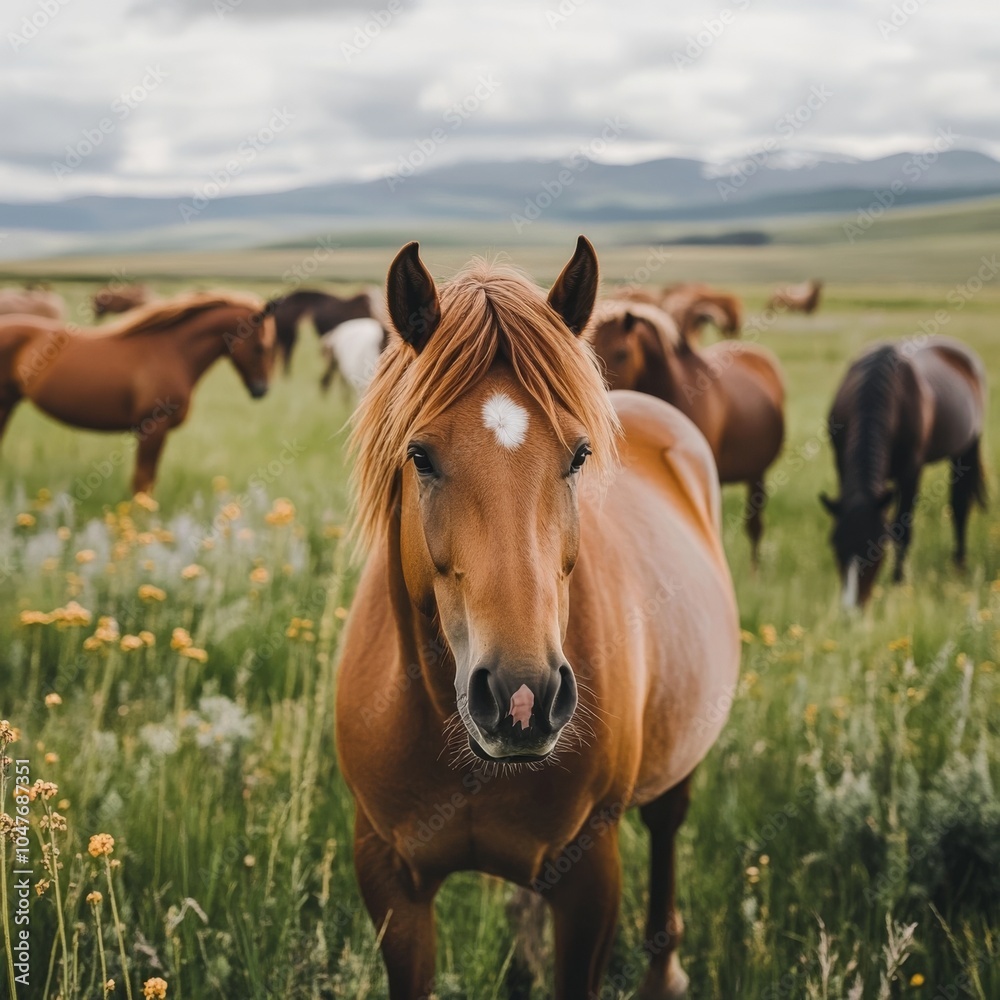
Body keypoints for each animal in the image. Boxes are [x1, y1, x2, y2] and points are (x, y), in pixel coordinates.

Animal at [336, 237, 740, 999]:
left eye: (578, 455)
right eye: (420, 455)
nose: (522, 698)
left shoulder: (588, 877)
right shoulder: (388, 879)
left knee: (667, 830)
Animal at [820, 337, 987, 608]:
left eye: (878, 548)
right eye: (836, 545)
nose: (852, 607)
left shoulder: (910, 473)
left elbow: (902, 530)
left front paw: (898, 582)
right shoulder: (841, 466)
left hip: (966, 450)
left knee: (960, 507)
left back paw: (959, 565)